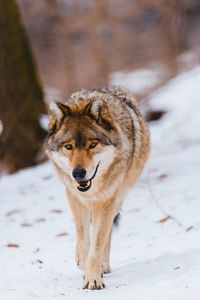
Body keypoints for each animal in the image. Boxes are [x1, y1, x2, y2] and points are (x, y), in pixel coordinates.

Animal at [46, 86, 150, 288]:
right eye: (69, 147)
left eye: (93, 145)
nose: (78, 173)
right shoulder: (75, 197)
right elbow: (83, 238)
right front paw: (83, 262)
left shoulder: (106, 200)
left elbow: (98, 242)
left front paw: (93, 277)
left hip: (117, 199)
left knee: (106, 232)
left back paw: (103, 265)